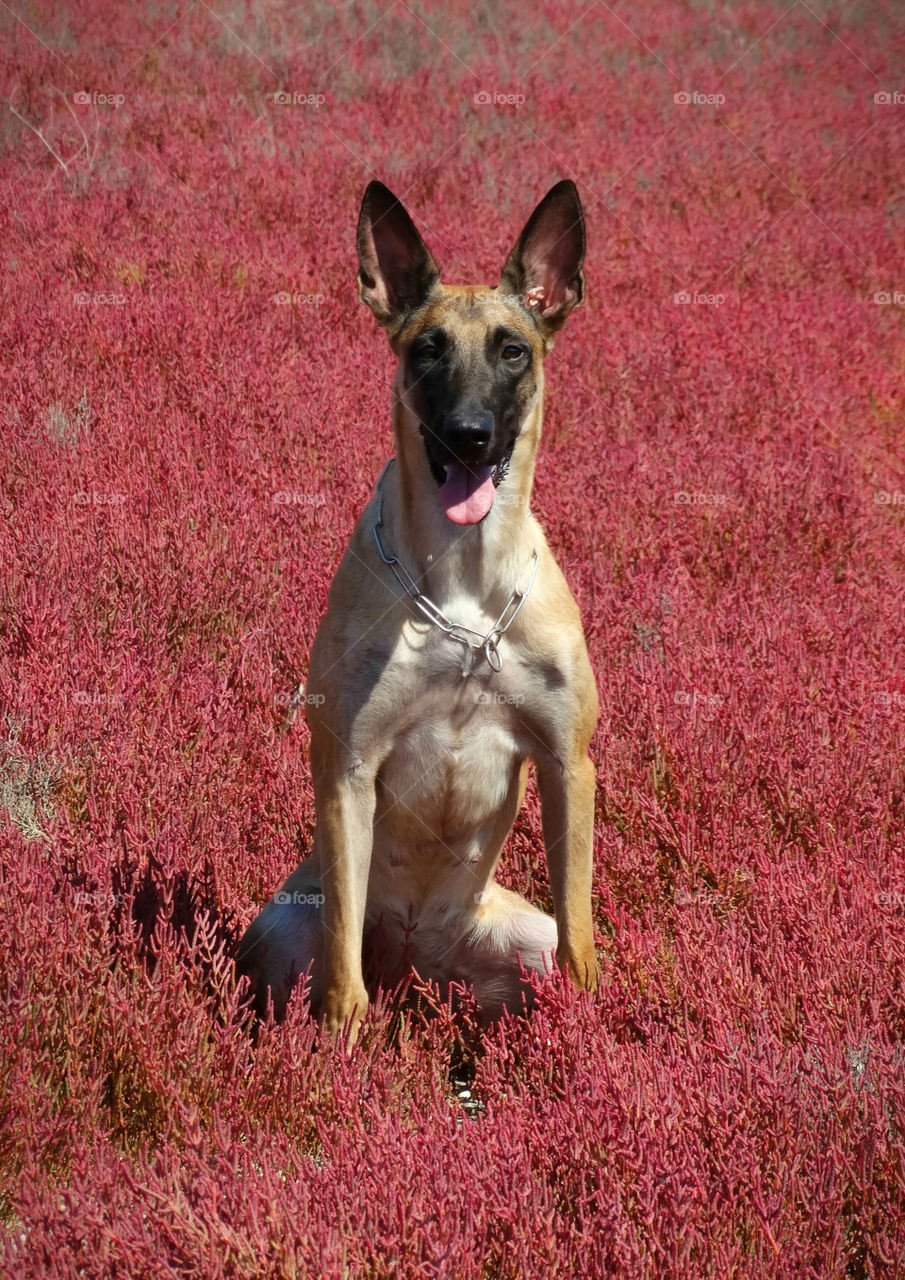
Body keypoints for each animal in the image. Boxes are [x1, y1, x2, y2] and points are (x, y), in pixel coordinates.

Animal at [236, 177, 599, 1039]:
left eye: (512, 349)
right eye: (425, 349)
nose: (468, 436)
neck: (462, 590)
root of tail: (417, 963)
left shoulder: (569, 764)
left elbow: (581, 934)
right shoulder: (346, 768)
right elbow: (341, 970)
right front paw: (340, 1044)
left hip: (518, 939)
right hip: (281, 923)